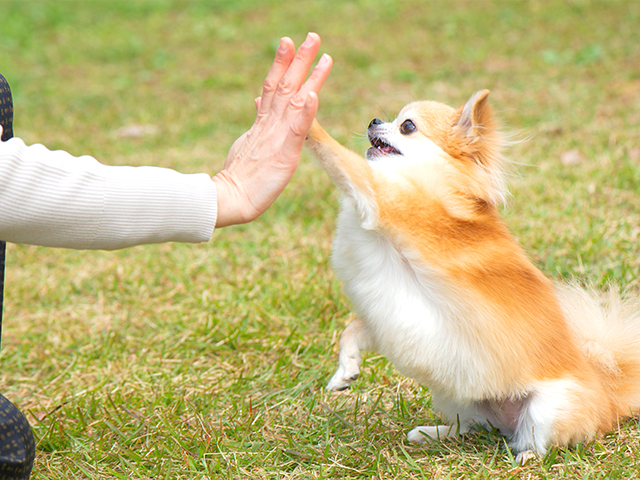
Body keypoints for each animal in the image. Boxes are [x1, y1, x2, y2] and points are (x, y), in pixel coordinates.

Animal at [304, 90, 640, 464]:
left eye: (407, 126)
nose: (374, 121)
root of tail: (609, 399)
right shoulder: (384, 319)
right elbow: (352, 330)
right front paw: (344, 372)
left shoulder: (381, 196)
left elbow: (336, 154)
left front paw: (304, 116)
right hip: (456, 393)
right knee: (473, 427)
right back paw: (433, 433)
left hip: (548, 408)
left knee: (537, 442)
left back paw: (524, 458)